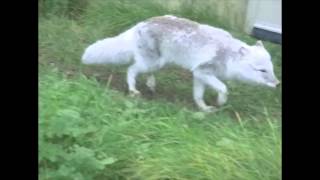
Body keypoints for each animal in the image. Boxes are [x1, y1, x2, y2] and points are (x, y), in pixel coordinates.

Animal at [82, 14, 280, 112]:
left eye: (271, 69)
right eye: (262, 71)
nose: (278, 84)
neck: (227, 55)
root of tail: (141, 23)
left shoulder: (199, 76)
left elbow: (198, 96)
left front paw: (204, 108)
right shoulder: (202, 72)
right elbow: (224, 88)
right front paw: (220, 101)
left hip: (158, 63)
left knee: (145, 72)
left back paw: (151, 85)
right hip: (150, 63)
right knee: (131, 70)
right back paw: (133, 90)